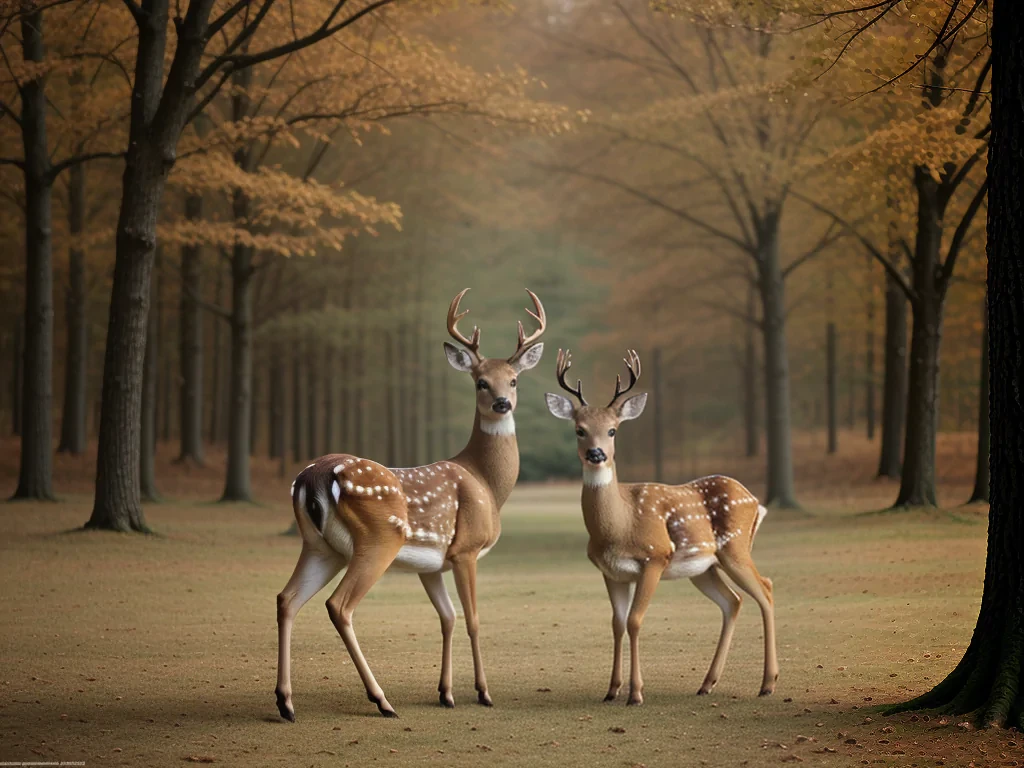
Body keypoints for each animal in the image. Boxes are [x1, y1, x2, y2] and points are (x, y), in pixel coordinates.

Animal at [276, 289, 546, 720]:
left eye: (514, 379)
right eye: (481, 382)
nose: (503, 402)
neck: (487, 484)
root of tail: (312, 476)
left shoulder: (431, 564)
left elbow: (447, 618)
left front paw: (446, 693)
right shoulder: (466, 548)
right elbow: (472, 619)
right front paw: (483, 692)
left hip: (319, 546)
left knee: (287, 599)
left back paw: (286, 702)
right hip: (378, 539)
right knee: (339, 605)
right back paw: (381, 700)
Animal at [544, 349, 778, 705]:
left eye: (613, 430)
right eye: (579, 430)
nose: (596, 454)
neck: (619, 525)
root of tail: (756, 502)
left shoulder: (655, 556)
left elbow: (635, 620)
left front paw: (636, 693)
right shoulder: (611, 572)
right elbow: (616, 623)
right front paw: (611, 690)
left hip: (735, 547)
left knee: (765, 589)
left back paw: (767, 684)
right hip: (704, 567)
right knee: (733, 601)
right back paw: (707, 683)